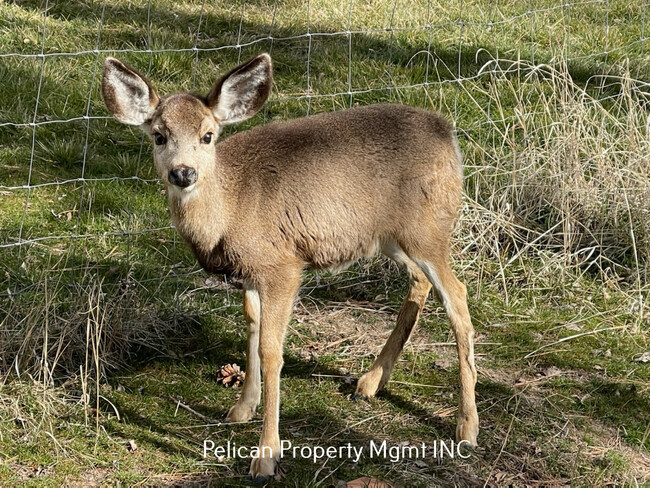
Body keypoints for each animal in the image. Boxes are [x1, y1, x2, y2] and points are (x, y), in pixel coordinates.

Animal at [101, 53, 476, 480]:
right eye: (158, 136)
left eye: (208, 135)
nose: (183, 172)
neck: (229, 210)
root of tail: (447, 132)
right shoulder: (249, 271)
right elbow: (250, 325)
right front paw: (241, 408)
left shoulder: (283, 264)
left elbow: (271, 350)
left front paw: (266, 455)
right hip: (391, 236)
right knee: (420, 282)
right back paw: (369, 382)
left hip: (429, 226)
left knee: (457, 295)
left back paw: (467, 426)